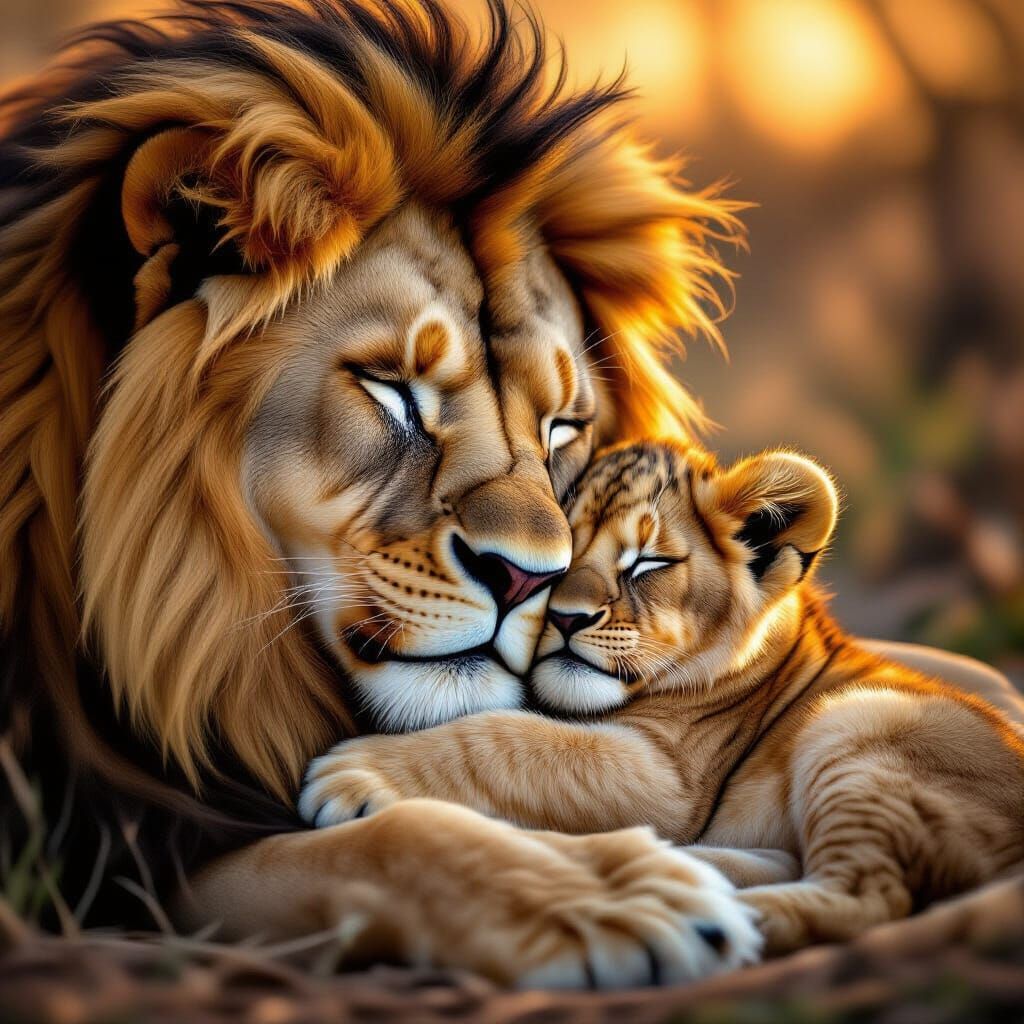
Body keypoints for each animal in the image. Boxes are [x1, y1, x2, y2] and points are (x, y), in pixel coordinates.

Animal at [0, 0, 1020, 988]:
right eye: (391, 389)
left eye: (562, 426)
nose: (530, 584)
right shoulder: (126, 849)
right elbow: (389, 844)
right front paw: (620, 898)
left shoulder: (668, 761)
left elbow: (507, 753)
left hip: (865, 731)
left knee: (870, 887)